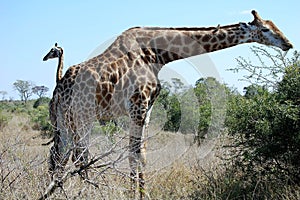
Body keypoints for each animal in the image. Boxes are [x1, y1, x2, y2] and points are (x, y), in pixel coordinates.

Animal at [47, 10, 292, 198]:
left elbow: (140, 155)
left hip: (64, 121)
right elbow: (135, 154)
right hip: (82, 116)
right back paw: (90, 191)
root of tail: (58, 90)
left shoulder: (147, 108)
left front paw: (141, 193)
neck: (157, 53)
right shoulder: (138, 104)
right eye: (265, 29)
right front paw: (135, 195)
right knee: (79, 156)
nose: (287, 43)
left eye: (275, 25)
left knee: (59, 156)